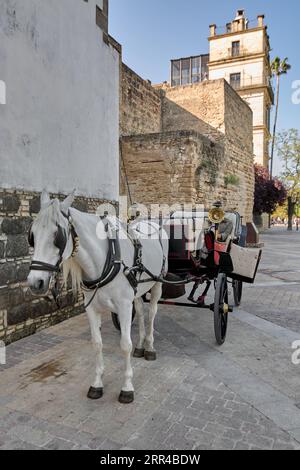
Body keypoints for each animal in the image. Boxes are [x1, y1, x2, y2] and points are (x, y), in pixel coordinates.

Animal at [27, 191, 169, 404]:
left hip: (158, 282)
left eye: (58, 236)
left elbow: (125, 345)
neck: (107, 258)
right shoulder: (92, 308)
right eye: (32, 236)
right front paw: (97, 383)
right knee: (141, 313)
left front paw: (127, 387)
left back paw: (150, 347)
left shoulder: (124, 307)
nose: (35, 282)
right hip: (137, 290)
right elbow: (96, 344)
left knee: (151, 313)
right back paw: (141, 345)